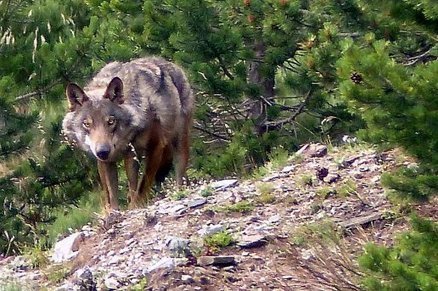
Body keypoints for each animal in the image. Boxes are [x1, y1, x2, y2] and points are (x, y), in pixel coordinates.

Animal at [61, 57, 193, 210]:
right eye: (87, 124)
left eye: (111, 121)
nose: (102, 151)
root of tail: (170, 63)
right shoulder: (108, 161)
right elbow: (111, 192)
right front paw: (113, 212)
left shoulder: (155, 147)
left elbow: (142, 185)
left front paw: (135, 207)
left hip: (178, 143)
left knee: (179, 174)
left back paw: (178, 192)